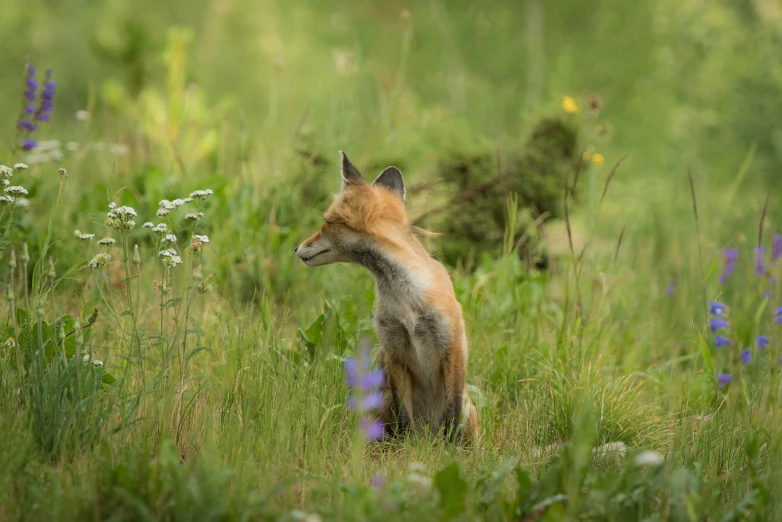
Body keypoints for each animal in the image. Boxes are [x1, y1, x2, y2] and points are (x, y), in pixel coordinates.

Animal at [294, 150, 478, 438]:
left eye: (326, 222)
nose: (295, 248)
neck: (406, 298)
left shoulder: (451, 344)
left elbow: (451, 412)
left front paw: (449, 446)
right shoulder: (393, 348)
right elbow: (404, 415)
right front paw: (408, 443)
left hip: (470, 409)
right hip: (379, 401)